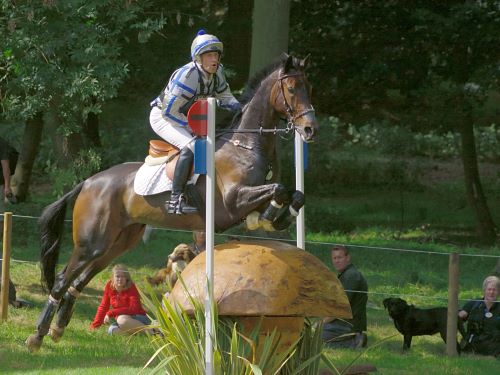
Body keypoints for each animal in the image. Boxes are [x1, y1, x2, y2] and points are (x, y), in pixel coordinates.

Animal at [26, 53, 316, 352]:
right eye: (291, 88)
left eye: (309, 88)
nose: (309, 129)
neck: (246, 145)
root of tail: (88, 182)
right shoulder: (233, 201)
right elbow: (278, 190)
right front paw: (270, 217)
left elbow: (293, 194)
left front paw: (275, 218)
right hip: (91, 242)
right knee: (63, 280)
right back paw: (37, 336)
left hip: (116, 242)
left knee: (80, 280)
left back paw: (57, 329)